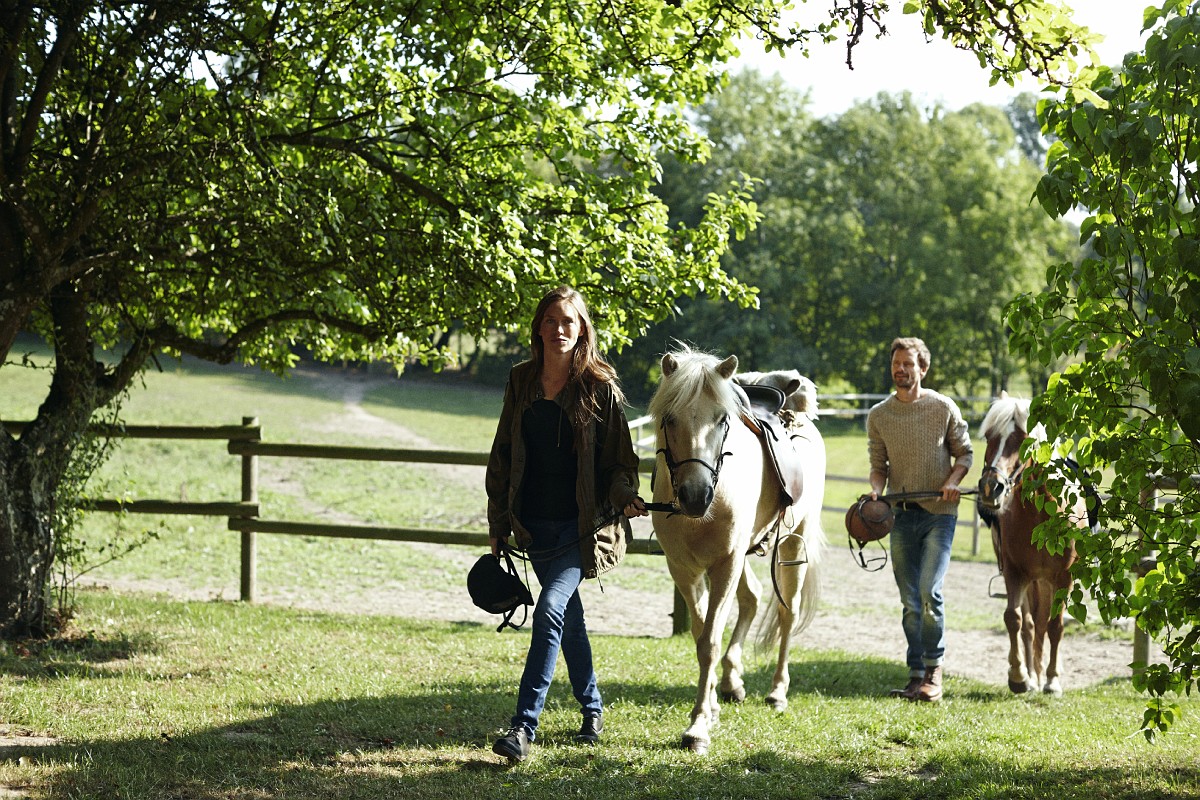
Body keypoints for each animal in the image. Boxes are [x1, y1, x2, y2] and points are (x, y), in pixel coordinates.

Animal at [648, 347, 825, 753]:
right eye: (669, 418)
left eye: (722, 419)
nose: (696, 495)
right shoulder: (684, 569)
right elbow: (700, 634)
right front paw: (711, 705)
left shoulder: (724, 565)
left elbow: (709, 642)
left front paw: (698, 726)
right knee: (753, 599)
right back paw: (731, 682)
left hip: (793, 543)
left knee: (786, 612)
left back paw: (777, 692)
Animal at [979, 393, 1094, 695]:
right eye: (989, 436)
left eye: (1022, 438)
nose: (991, 487)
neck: (1041, 515)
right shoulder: (1015, 573)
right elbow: (1014, 619)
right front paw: (1019, 676)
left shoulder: (1063, 578)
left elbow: (1055, 627)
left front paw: (1052, 680)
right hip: (1033, 581)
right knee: (1030, 625)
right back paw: (1032, 675)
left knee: (1045, 626)